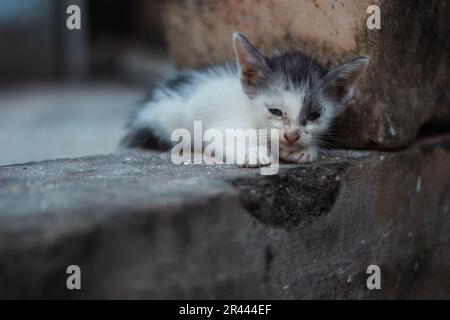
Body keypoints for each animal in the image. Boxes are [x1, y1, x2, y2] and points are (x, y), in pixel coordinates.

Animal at [123, 32, 370, 166]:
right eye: (275, 111)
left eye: (314, 115)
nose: (291, 136)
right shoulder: (217, 127)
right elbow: (220, 139)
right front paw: (249, 151)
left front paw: (304, 150)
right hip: (167, 117)